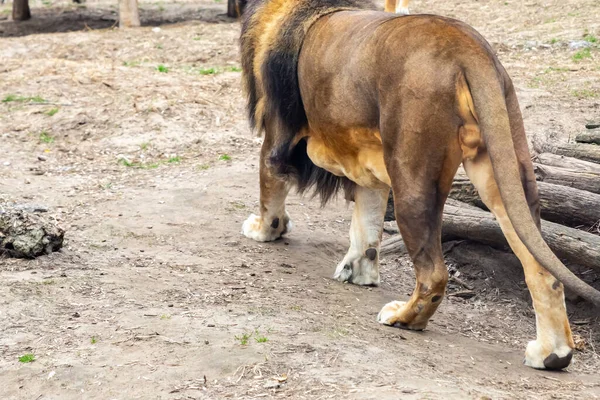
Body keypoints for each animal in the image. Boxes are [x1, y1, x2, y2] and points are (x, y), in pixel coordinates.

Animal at [238, 0, 600, 372]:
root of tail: (466, 44)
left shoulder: (277, 133)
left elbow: (270, 189)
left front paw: (263, 230)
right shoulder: (367, 164)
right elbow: (366, 225)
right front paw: (359, 272)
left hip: (411, 176)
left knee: (434, 273)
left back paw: (405, 318)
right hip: (502, 165)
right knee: (543, 268)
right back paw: (552, 353)